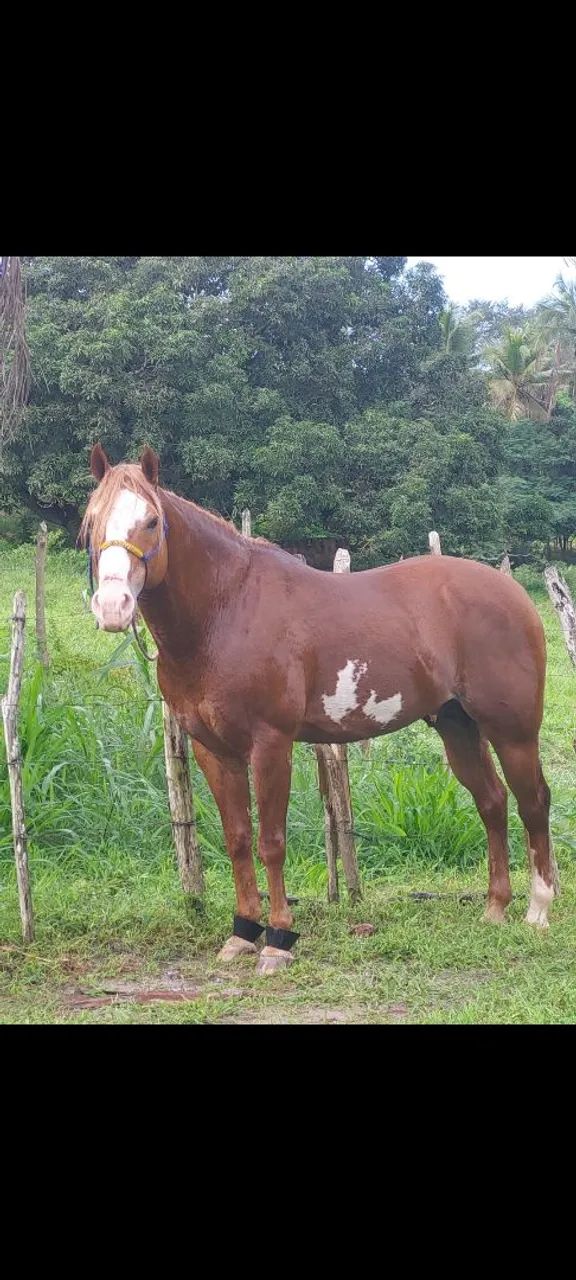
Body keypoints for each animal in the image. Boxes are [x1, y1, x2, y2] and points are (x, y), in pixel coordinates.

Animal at [81, 443, 556, 973]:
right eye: (92, 518)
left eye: (151, 521)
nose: (113, 606)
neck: (226, 611)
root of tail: (514, 594)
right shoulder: (213, 749)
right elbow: (237, 838)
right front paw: (242, 933)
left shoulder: (271, 744)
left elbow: (271, 842)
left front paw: (278, 939)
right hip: (458, 726)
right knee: (491, 802)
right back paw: (495, 907)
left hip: (513, 731)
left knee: (533, 802)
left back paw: (537, 910)